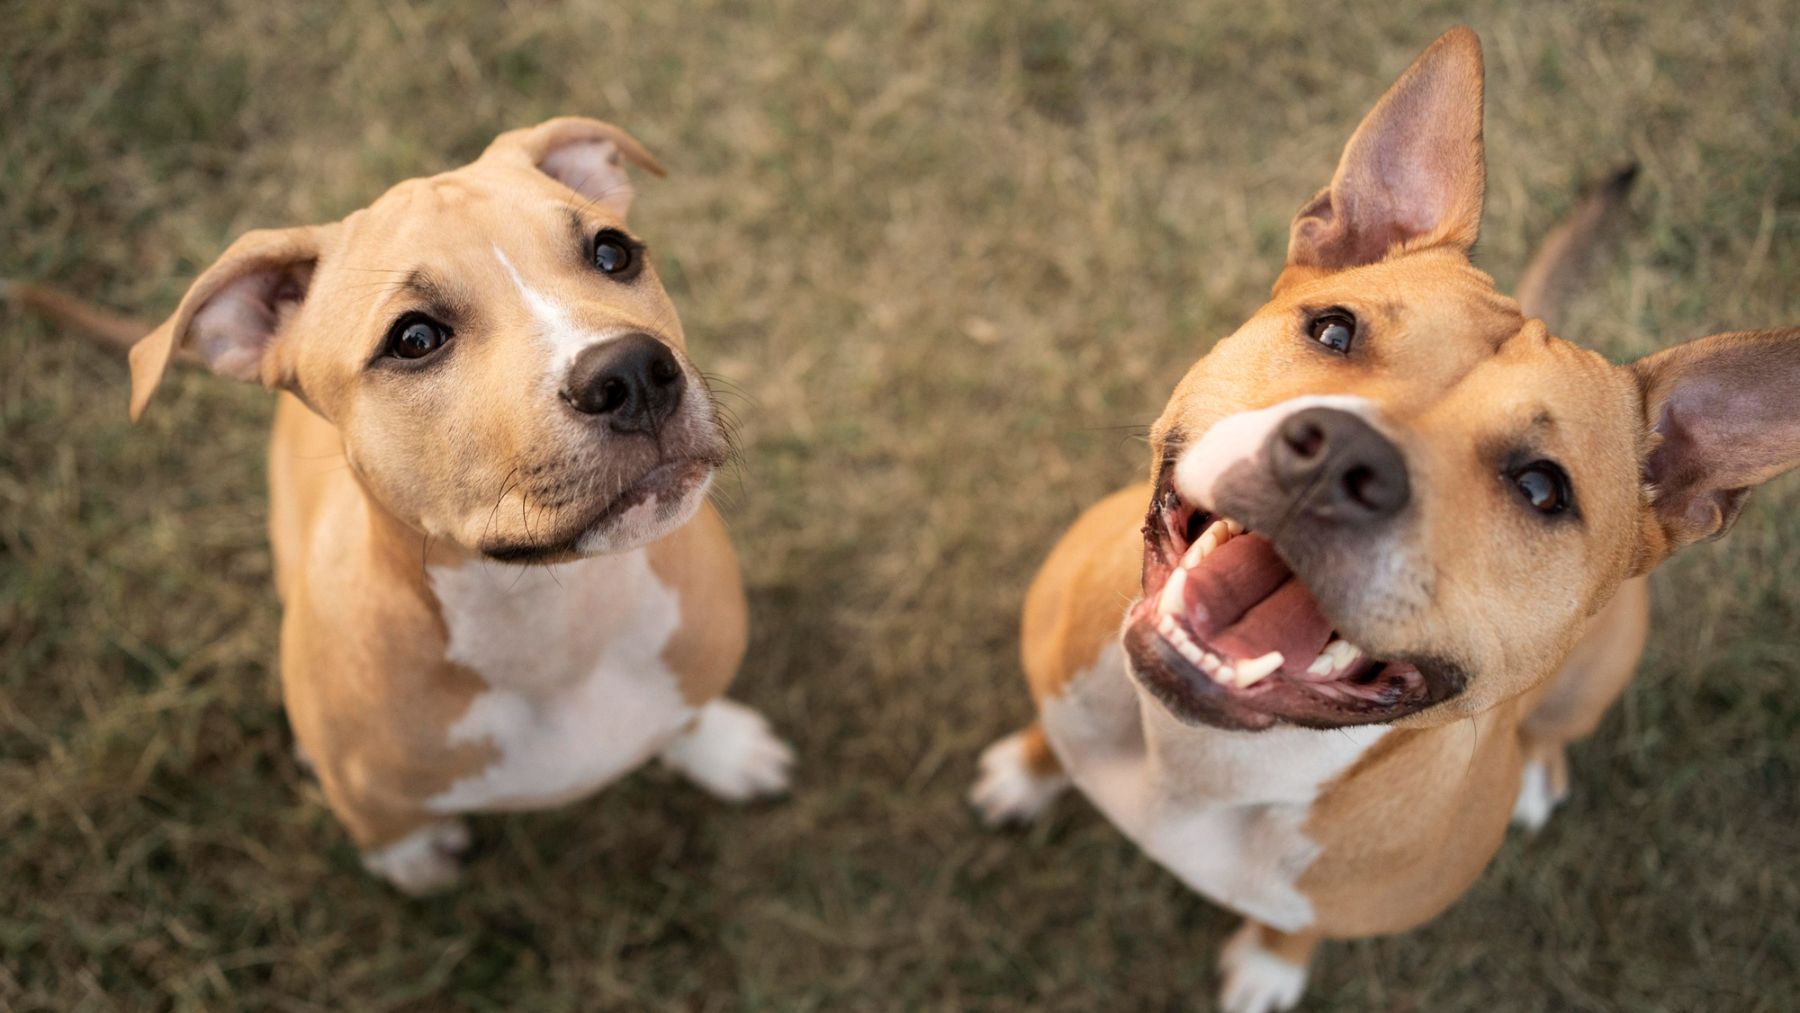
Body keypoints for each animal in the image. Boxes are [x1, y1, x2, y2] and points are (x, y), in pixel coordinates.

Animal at [15, 120, 795, 896]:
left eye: (612, 252)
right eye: (414, 339)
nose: (633, 372)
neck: (551, 620)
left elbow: (687, 714)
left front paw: (721, 747)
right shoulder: (369, 785)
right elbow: (384, 824)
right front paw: (412, 862)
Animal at [972, 27, 1800, 1007]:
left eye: (1542, 488)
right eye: (1333, 329)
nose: (1339, 457)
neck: (1202, 758)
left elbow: (1297, 927)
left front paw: (1269, 965)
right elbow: (1053, 738)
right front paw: (1029, 772)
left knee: (1556, 727)